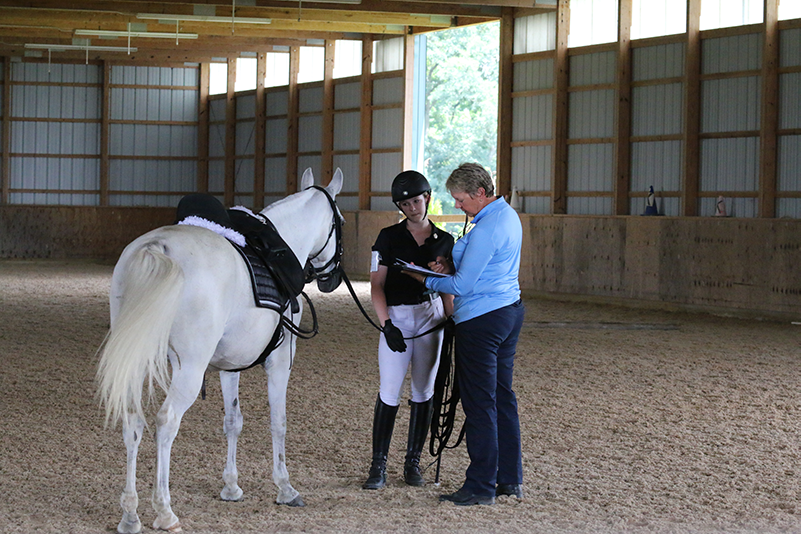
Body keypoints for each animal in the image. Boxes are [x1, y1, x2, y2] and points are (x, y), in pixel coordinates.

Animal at [95, 169, 342, 534]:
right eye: (340, 221)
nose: (331, 280)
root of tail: (157, 247)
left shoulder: (229, 366)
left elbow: (232, 421)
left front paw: (231, 486)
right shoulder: (280, 361)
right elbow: (278, 422)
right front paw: (285, 487)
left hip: (135, 358)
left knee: (133, 422)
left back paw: (130, 514)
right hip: (189, 369)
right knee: (165, 423)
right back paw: (164, 510)